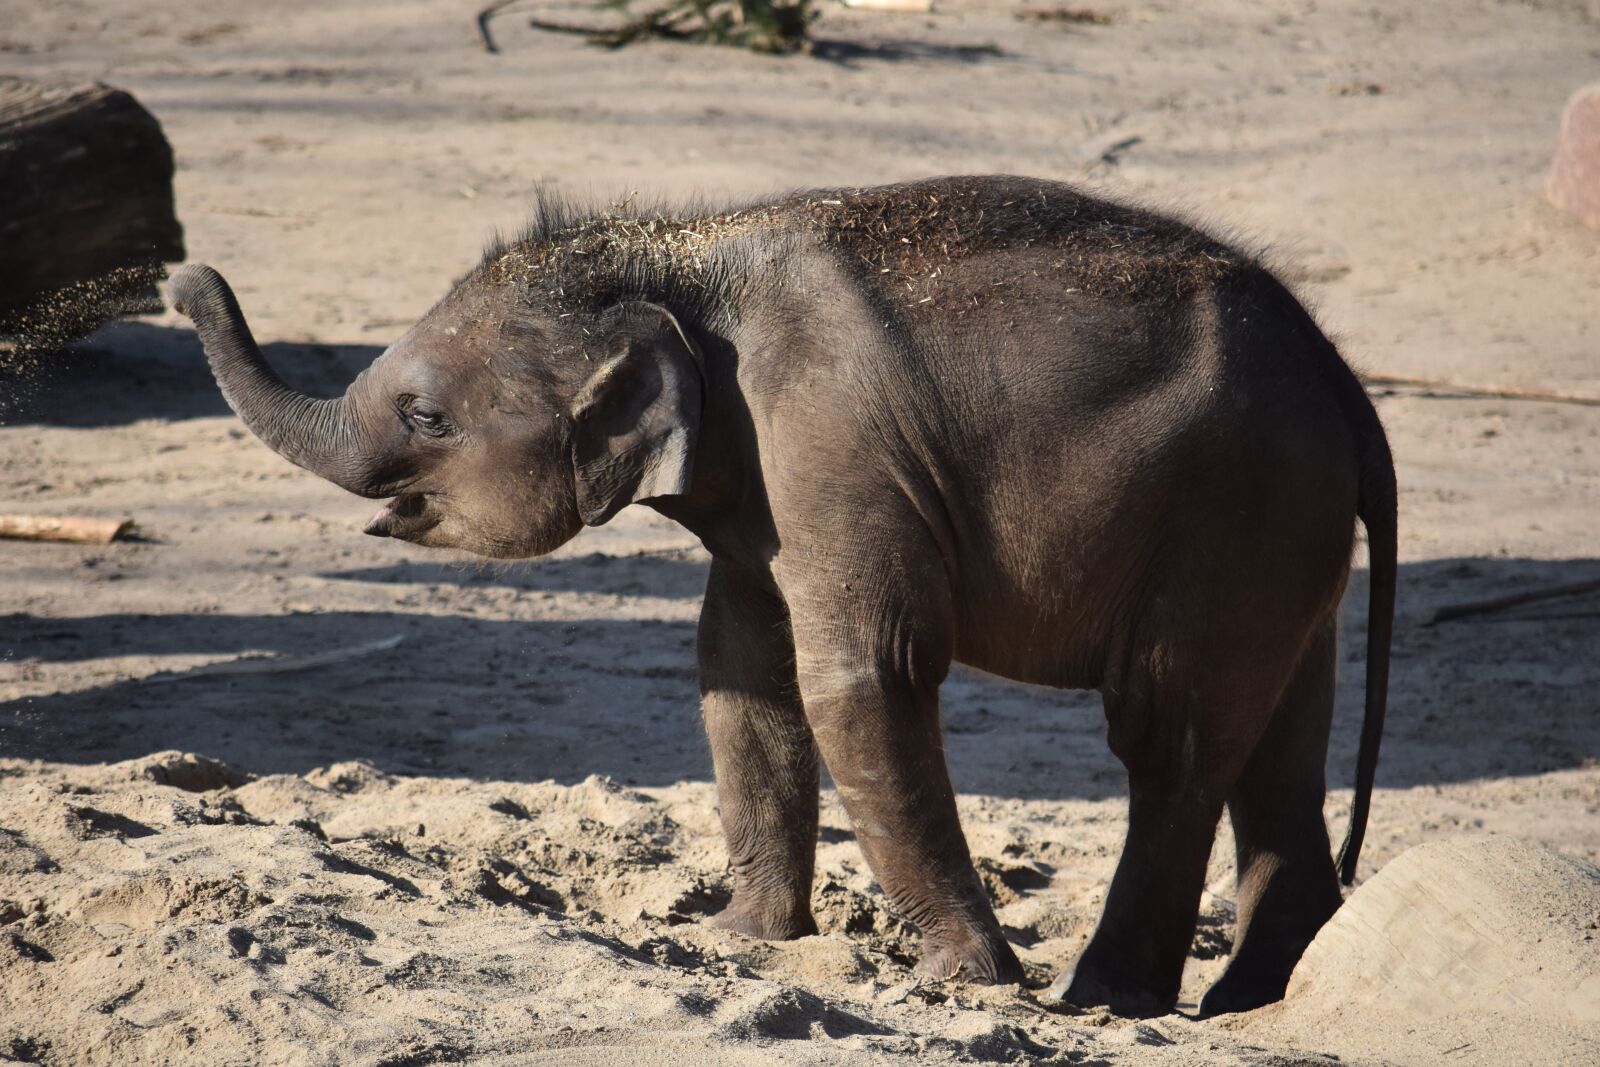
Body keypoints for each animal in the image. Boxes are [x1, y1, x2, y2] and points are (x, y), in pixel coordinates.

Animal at [170, 175, 1396, 1018]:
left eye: (426, 416)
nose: (176, 278)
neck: (684, 261)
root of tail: (1344, 377)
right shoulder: (762, 480)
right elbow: (739, 671)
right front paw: (744, 941)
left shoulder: (832, 440)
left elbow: (861, 676)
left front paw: (967, 983)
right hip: (1285, 534)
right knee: (1279, 739)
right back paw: (1249, 997)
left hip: (1230, 511)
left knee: (1167, 737)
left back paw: (1103, 998)